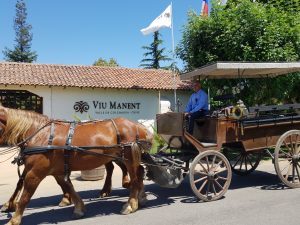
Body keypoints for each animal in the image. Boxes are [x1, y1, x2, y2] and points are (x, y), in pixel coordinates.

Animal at [0, 106, 152, 225]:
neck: (41, 135)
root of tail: (138, 126)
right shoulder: (56, 170)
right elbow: (68, 186)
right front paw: (78, 207)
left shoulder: (35, 173)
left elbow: (25, 197)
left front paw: (14, 219)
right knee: (138, 172)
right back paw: (141, 197)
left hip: (129, 158)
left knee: (135, 178)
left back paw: (131, 204)